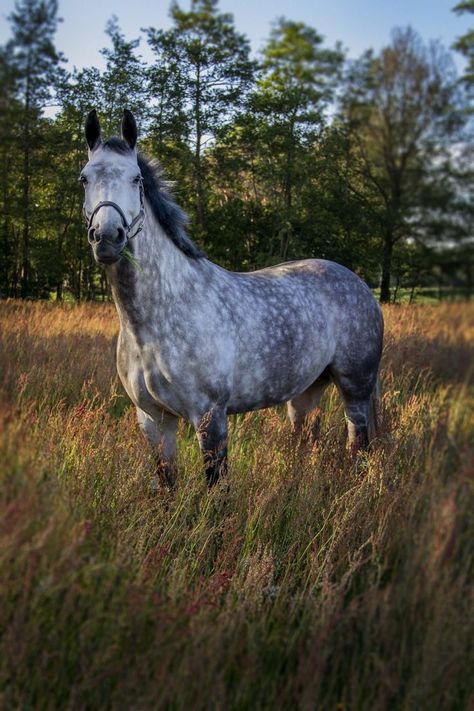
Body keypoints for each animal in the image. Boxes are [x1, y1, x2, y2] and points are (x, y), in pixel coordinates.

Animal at [81, 110, 384, 490]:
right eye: (84, 179)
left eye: (136, 179)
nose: (107, 237)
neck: (157, 322)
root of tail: (359, 284)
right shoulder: (153, 419)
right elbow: (166, 484)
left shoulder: (210, 417)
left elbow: (217, 487)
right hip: (306, 392)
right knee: (308, 444)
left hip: (356, 388)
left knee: (359, 445)